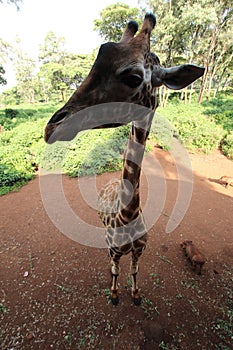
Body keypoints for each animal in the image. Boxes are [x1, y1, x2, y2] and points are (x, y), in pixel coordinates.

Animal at [43, 13, 204, 304]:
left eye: (132, 77)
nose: (51, 127)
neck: (127, 215)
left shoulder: (140, 250)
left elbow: (135, 271)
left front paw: (136, 294)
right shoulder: (115, 250)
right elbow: (116, 271)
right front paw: (115, 294)